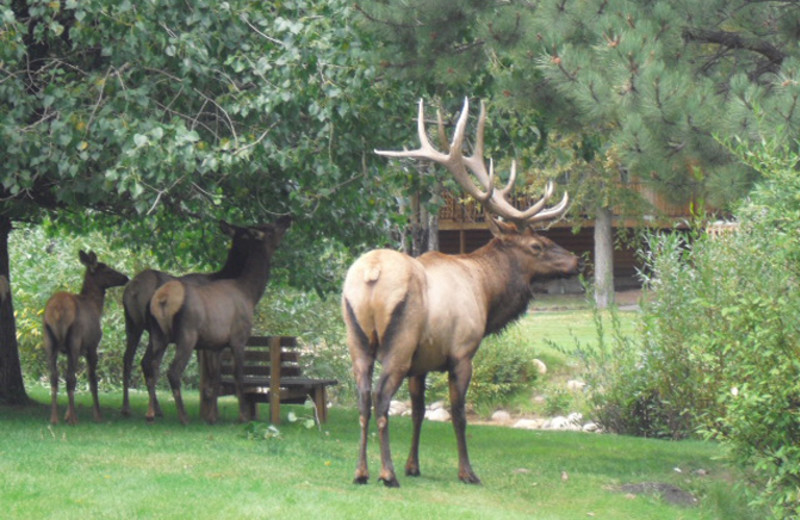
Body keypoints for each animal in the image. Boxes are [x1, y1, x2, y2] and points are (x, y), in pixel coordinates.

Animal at [44, 252, 129, 426]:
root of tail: (56, 311)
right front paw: (97, 415)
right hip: (75, 339)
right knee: (70, 378)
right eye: (108, 270)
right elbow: (92, 380)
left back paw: (54, 418)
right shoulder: (92, 346)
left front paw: (66, 414)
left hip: (49, 340)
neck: (96, 307)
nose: (126, 277)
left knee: (54, 377)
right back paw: (74, 419)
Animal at [119, 220, 253, 418]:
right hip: (151, 329)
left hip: (133, 324)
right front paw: (211, 410)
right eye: (244, 233)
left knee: (131, 359)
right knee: (147, 362)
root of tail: (132, 290)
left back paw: (132, 407)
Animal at [145, 214, 292, 422]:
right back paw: (183, 416)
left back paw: (151, 413)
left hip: (158, 334)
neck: (250, 293)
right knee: (173, 371)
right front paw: (243, 416)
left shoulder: (214, 344)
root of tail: (162, 299)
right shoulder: (239, 338)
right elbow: (239, 376)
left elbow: (214, 380)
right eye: (270, 229)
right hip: (187, 334)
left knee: (151, 367)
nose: (288, 217)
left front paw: (212, 417)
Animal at [340, 98, 580, 488]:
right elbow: (458, 413)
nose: (576, 260)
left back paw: (361, 472)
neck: (485, 291)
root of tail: (372, 274)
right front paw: (467, 471)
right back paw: (387, 474)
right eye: (537, 245)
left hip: (357, 340)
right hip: (398, 343)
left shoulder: (421, 364)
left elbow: (420, 411)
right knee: (380, 399)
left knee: (362, 398)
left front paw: (414, 464)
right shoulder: (462, 352)